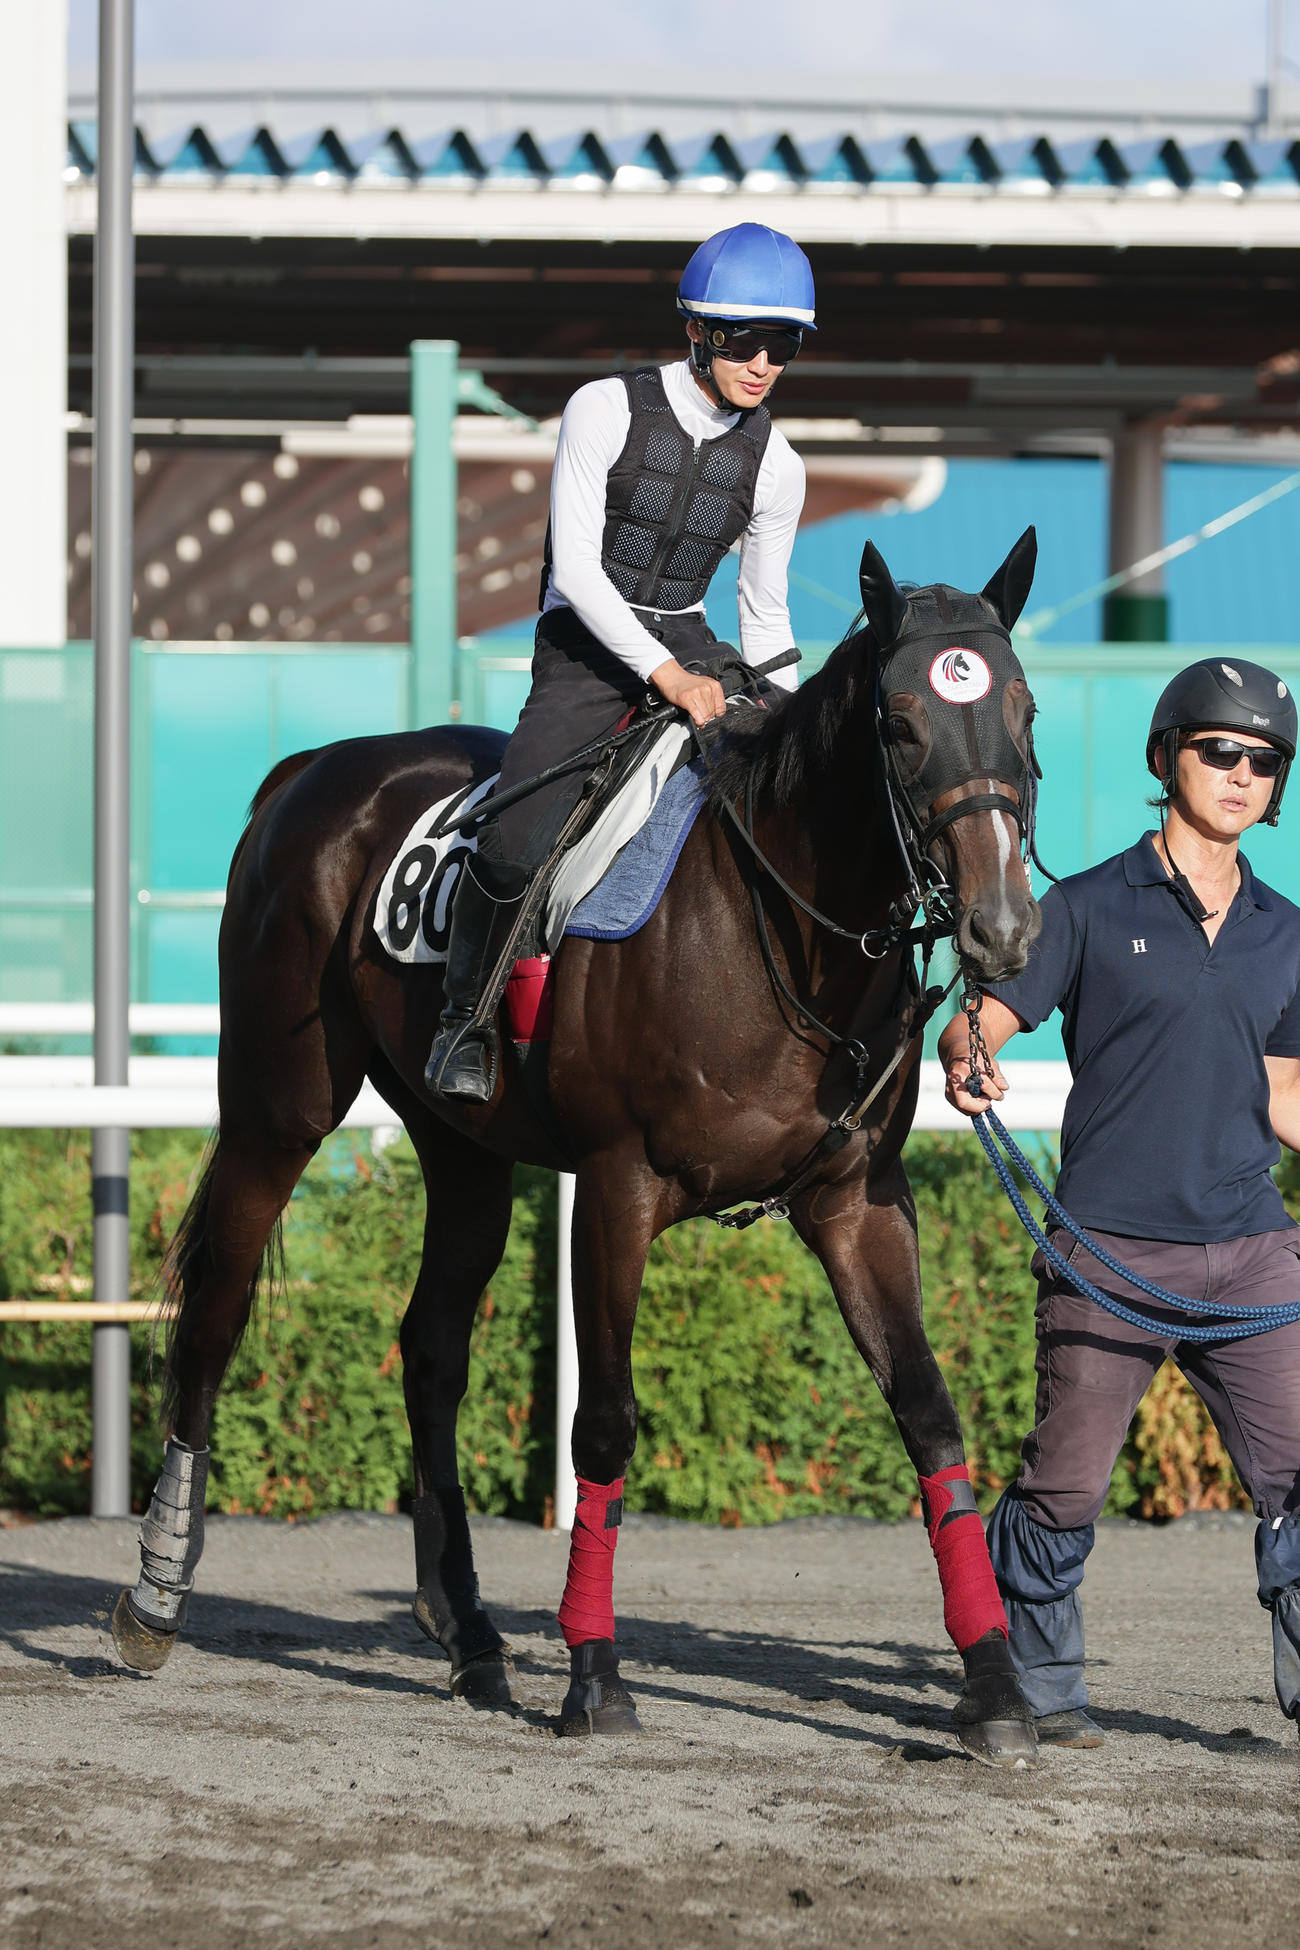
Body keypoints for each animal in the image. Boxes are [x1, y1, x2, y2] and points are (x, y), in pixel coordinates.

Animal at [113, 530, 1044, 1766]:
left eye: (1023, 711)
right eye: (899, 722)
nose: (1001, 927)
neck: (771, 927)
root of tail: (308, 771)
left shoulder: (858, 1202)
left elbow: (930, 1415)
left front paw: (993, 1684)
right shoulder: (616, 1186)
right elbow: (602, 1425)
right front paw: (595, 1673)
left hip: (462, 1150)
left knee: (430, 1350)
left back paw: (467, 1631)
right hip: (279, 1107)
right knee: (217, 1312)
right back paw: (156, 1594)